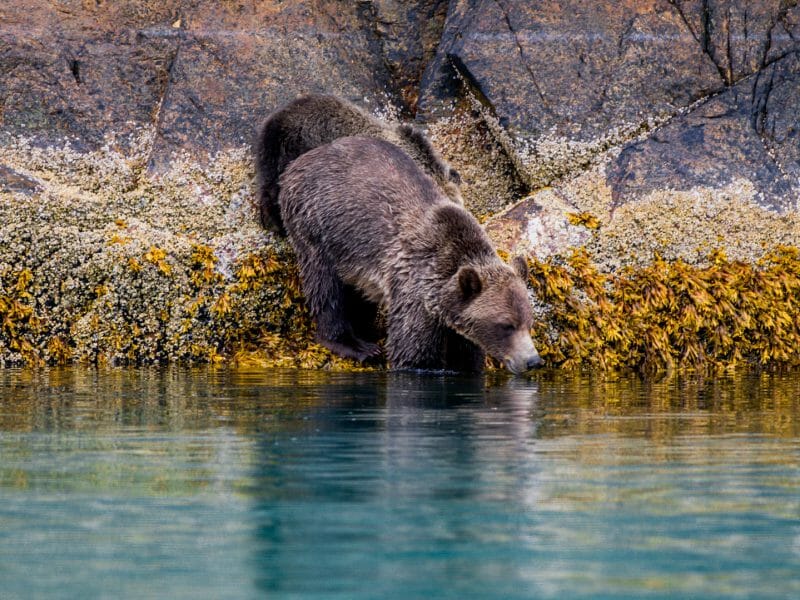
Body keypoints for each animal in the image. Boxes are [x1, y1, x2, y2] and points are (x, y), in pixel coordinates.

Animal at [278, 135, 543, 375]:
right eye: (506, 325)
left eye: (529, 322)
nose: (532, 361)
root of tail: (300, 161)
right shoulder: (415, 289)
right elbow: (412, 353)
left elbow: (467, 358)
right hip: (316, 225)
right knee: (326, 286)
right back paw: (355, 345)